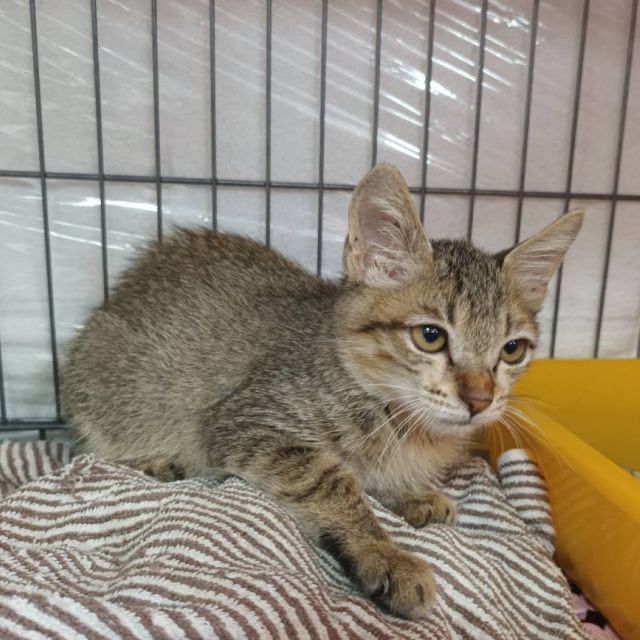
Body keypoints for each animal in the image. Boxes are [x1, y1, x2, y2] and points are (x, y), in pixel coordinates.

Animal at [61, 164, 583, 619]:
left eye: (512, 349)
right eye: (430, 336)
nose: (480, 400)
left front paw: (412, 495)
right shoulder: (247, 421)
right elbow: (333, 479)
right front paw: (384, 553)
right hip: (101, 384)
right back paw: (156, 461)